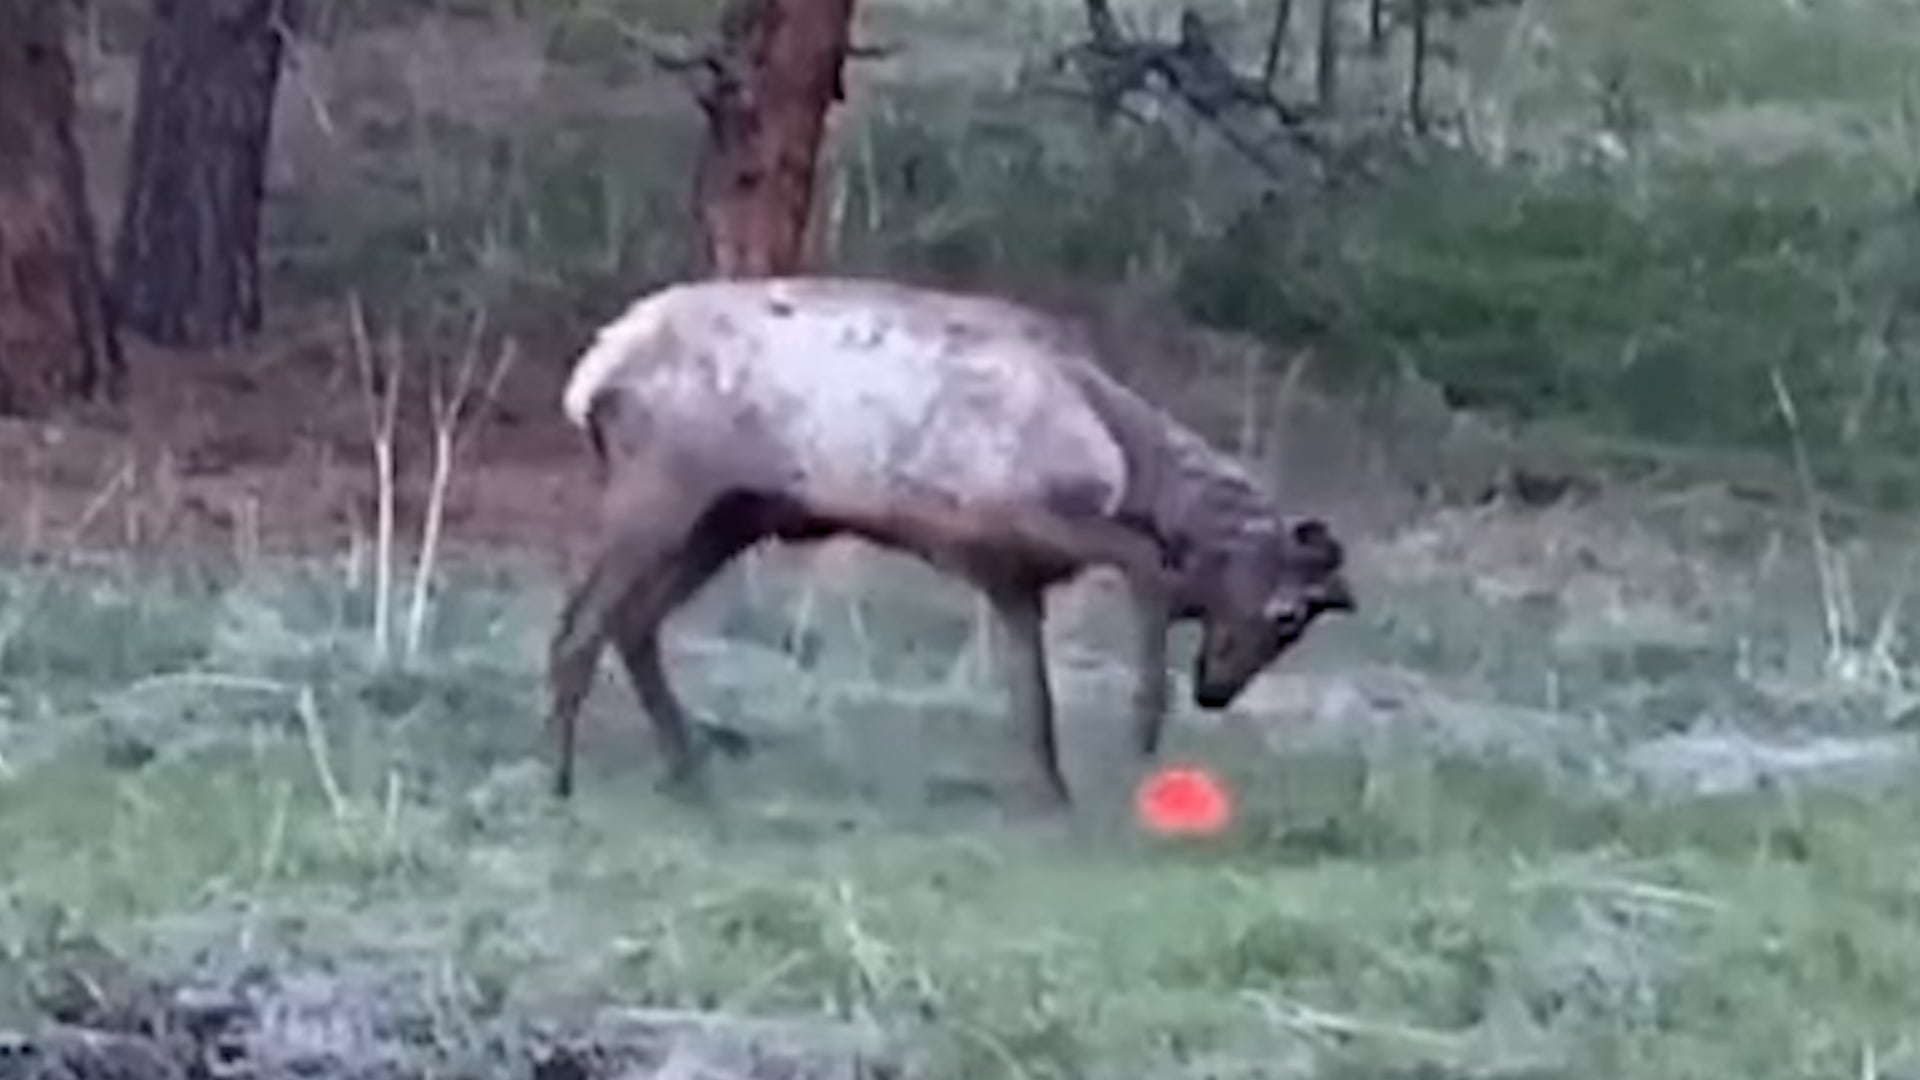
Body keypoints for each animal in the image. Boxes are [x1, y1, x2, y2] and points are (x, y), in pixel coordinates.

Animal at [547, 275, 1356, 810]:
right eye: (1288, 612)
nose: (1216, 691)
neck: (1133, 466)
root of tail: (591, 377)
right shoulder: (1017, 515)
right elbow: (1147, 566)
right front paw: (1142, 727)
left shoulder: (1010, 576)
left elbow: (1033, 699)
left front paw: (1053, 797)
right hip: (665, 493)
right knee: (582, 624)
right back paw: (562, 778)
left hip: (728, 519)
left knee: (631, 621)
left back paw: (687, 772)